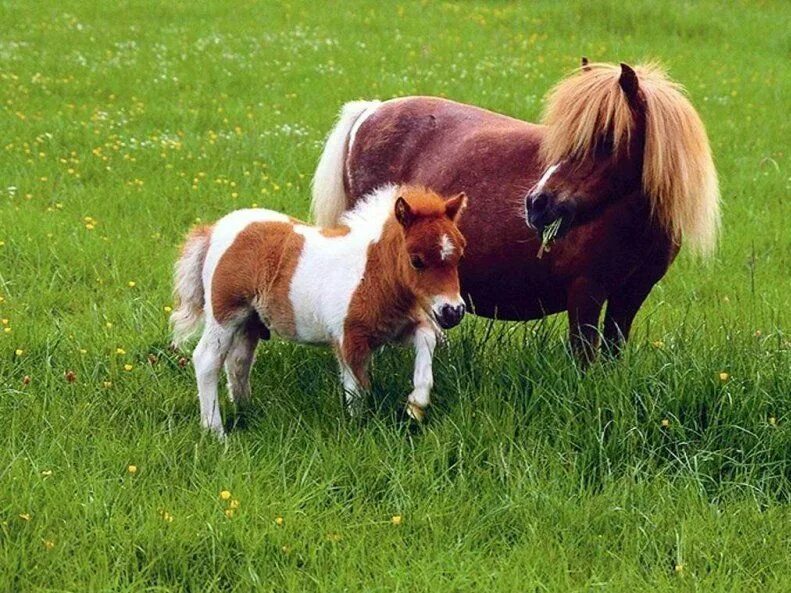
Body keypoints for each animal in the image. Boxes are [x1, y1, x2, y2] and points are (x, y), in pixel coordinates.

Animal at [170, 183, 468, 438]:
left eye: (459, 256)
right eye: (416, 260)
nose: (453, 311)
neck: (370, 274)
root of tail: (213, 230)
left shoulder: (395, 328)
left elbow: (426, 340)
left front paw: (416, 404)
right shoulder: (349, 340)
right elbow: (358, 391)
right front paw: (359, 432)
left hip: (249, 321)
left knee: (238, 363)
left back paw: (247, 412)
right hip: (225, 314)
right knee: (207, 359)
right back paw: (216, 432)